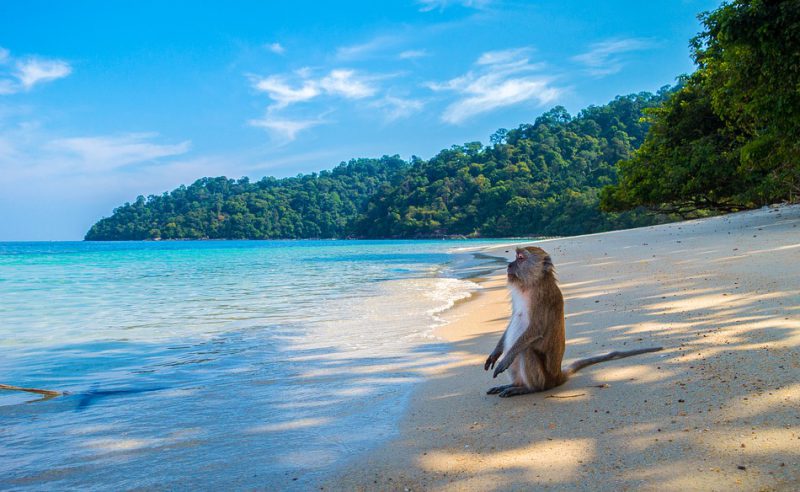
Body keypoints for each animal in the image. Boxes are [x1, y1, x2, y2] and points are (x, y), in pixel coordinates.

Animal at [484, 246, 660, 396]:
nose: (509, 265)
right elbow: (513, 319)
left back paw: (528, 389)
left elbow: (536, 330)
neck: (531, 284)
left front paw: (505, 358)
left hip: (544, 379)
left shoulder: (542, 297)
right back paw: (515, 385)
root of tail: (557, 377)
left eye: (520, 258)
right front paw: (495, 353)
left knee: (525, 350)